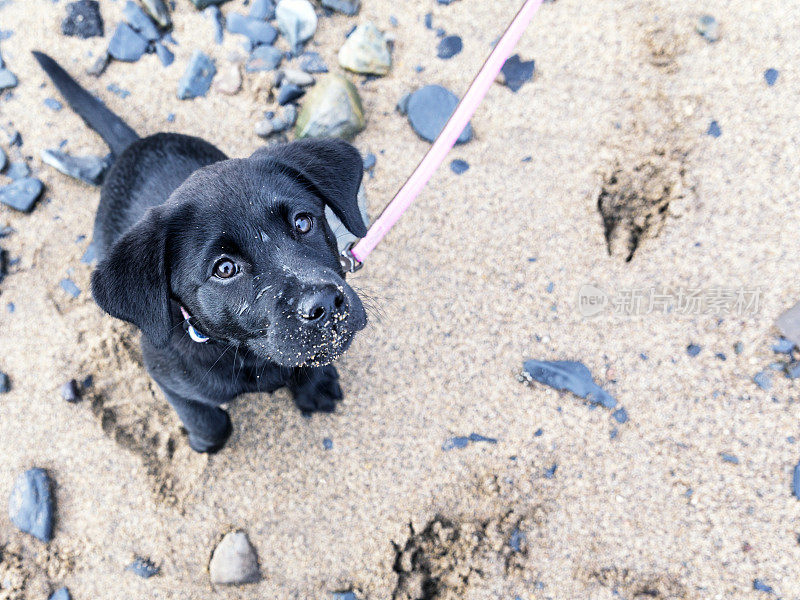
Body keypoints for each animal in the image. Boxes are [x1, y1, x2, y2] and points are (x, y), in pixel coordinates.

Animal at [32, 52, 368, 450]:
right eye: (224, 269)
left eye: (303, 222)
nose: (326, 304)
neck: (248, 356)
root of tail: (134, 145)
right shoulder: (166, 376)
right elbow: (209, 420)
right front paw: (204, 442)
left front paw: (315, 385)